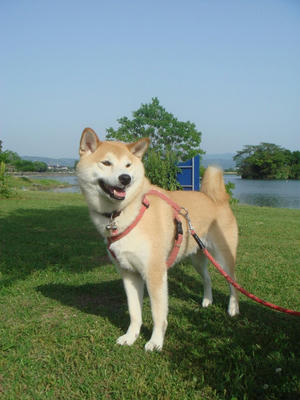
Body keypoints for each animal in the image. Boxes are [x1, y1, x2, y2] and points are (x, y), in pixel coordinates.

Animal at [77, 127, 239, 350]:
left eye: (128, 165)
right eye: (106, 163)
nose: (125, 178)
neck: (127, 211)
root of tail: (215, 199)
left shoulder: (154, 273)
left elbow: (158, 314)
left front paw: (155, 342)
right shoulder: (129, 273)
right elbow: (134, 312)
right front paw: (131, 336)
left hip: (223, 257)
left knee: (233, 282)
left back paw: (233, 308)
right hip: (197, 257)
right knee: (207, 279)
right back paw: (207, 301)